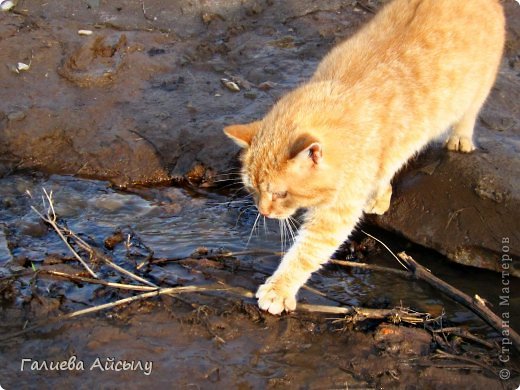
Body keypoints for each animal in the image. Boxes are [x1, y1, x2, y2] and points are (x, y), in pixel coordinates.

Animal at [222, 0, 504, 314]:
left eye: (281, 194)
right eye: (252, 190)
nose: (263, 212)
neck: (341, 95)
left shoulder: (337, 210)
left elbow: (306, 252)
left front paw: (279, 289)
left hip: (478, 88)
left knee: (469, 112)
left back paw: (460, 138)